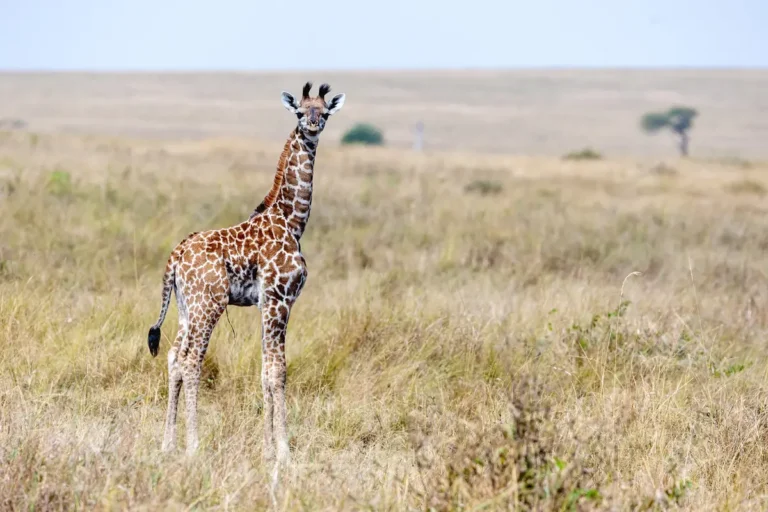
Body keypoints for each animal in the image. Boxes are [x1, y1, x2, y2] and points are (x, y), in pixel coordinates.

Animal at [146, 82, 345, 467]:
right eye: (301, 111)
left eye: (325, 111)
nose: (313, 126)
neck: (292, 221)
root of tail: (176, 256)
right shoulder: (280, 300)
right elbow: (278, 370)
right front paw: (284, 452)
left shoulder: (265, 304)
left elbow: (265, 370)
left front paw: (267, 449)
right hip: (209, 304)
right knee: (192, 361)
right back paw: (193, 446)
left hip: (185, 307)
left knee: (174, 358)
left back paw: (167, 445)